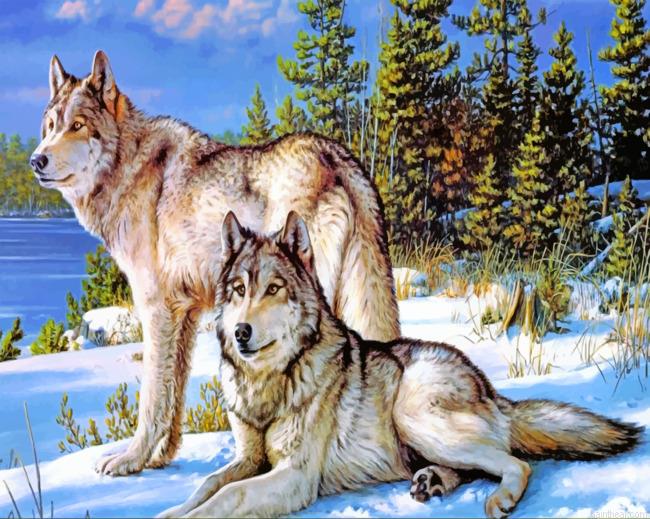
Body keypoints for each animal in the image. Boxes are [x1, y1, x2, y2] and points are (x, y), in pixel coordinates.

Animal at [30, 51, 400, 476]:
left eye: (77, 126)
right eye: (51, 126)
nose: (36, 160)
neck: (128, 168)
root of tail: (340, 159)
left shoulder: (155, 310)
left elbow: (151, 399)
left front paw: (130, 460)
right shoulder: (185, 315)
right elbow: (173, 396)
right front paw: (161, 457)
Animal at [159, 211, 643, 519]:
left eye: (274, 289)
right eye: (239, 290)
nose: (241, 332)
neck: (269, 385)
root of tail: (488, 387)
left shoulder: (294, 476)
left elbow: (228, 497)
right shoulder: (249, 459)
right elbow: (207, 486)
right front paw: (171, 510)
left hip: (412, 415)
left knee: (516, 464)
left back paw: (498, 499)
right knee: (476, 465)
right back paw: (433, 482)